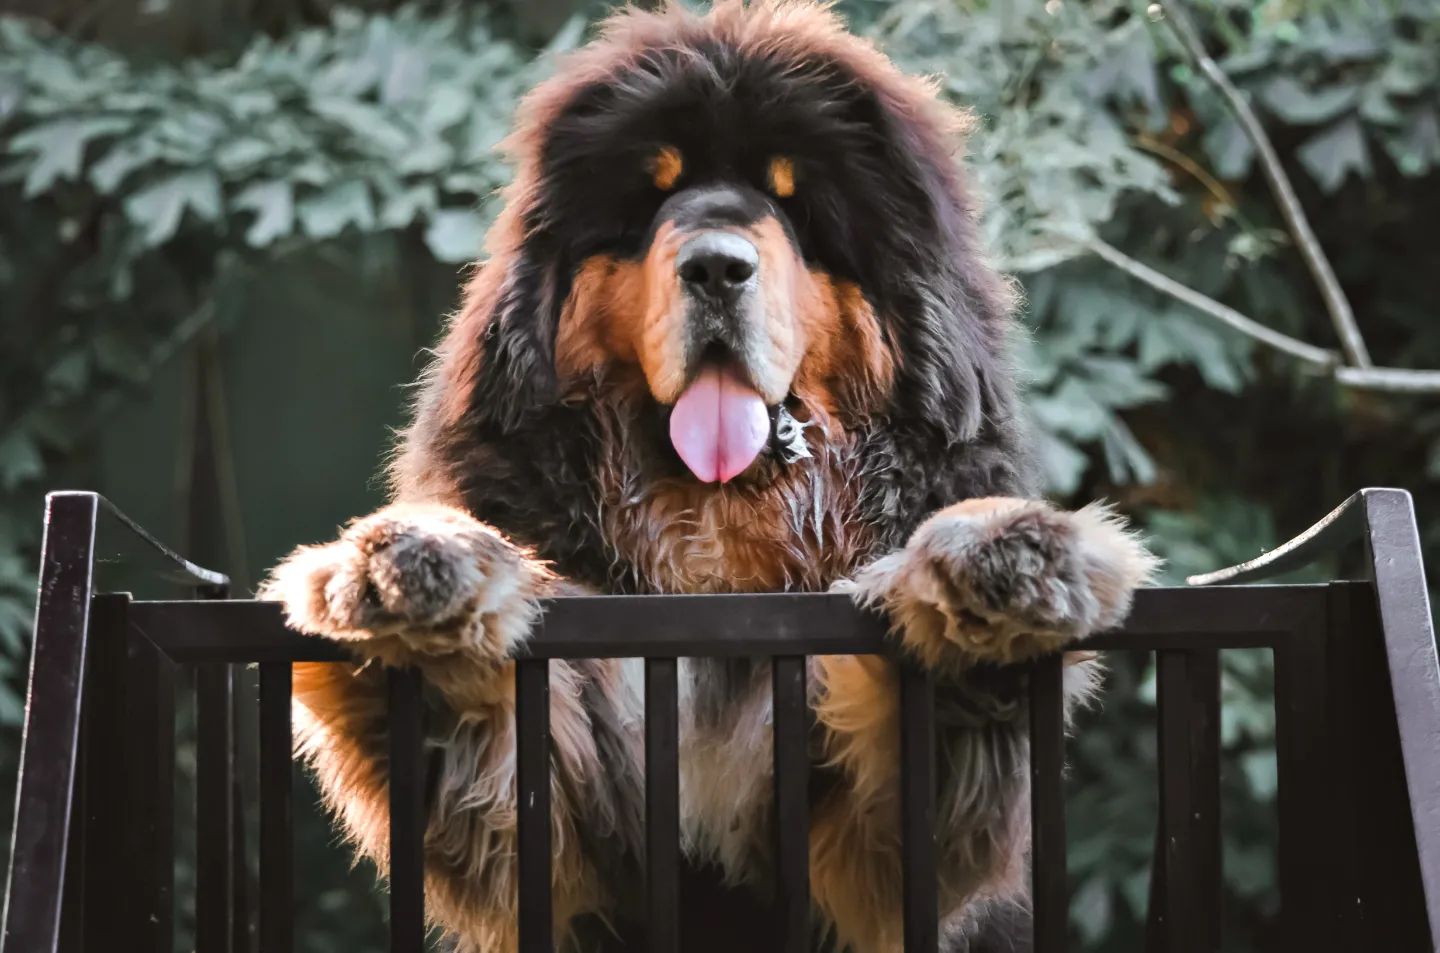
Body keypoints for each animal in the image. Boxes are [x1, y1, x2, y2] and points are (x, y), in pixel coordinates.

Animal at [262, 3, 1157, 950]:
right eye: (655, 197)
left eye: (794, 204)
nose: (717, 264)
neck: (719, 554)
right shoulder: (569, 851)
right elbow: (491, 742)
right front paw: (415, 569)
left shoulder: (852, 869)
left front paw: (997, 565)